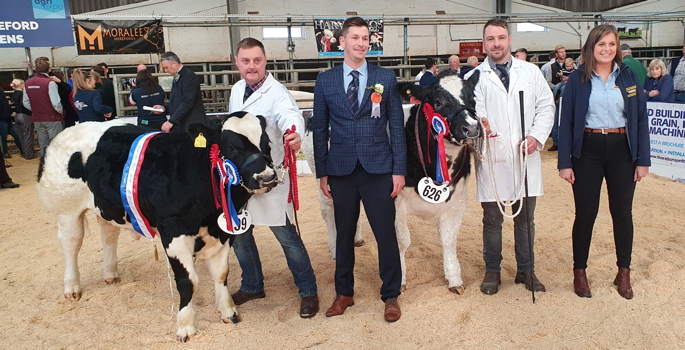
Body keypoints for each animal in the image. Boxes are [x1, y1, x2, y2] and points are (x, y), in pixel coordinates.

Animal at [37, 113, 276, 342]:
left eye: (267, 143)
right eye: (232, 147)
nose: (267, 177)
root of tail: (68, 130)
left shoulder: (222, 232)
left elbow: (221, 273)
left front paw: (229, 313)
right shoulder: (173, 232)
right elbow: (188, 281)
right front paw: (185, 327)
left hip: (106, 206)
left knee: (109, 235)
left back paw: (110, 274)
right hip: (67, 210)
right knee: (71, 244)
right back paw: (72, 288)